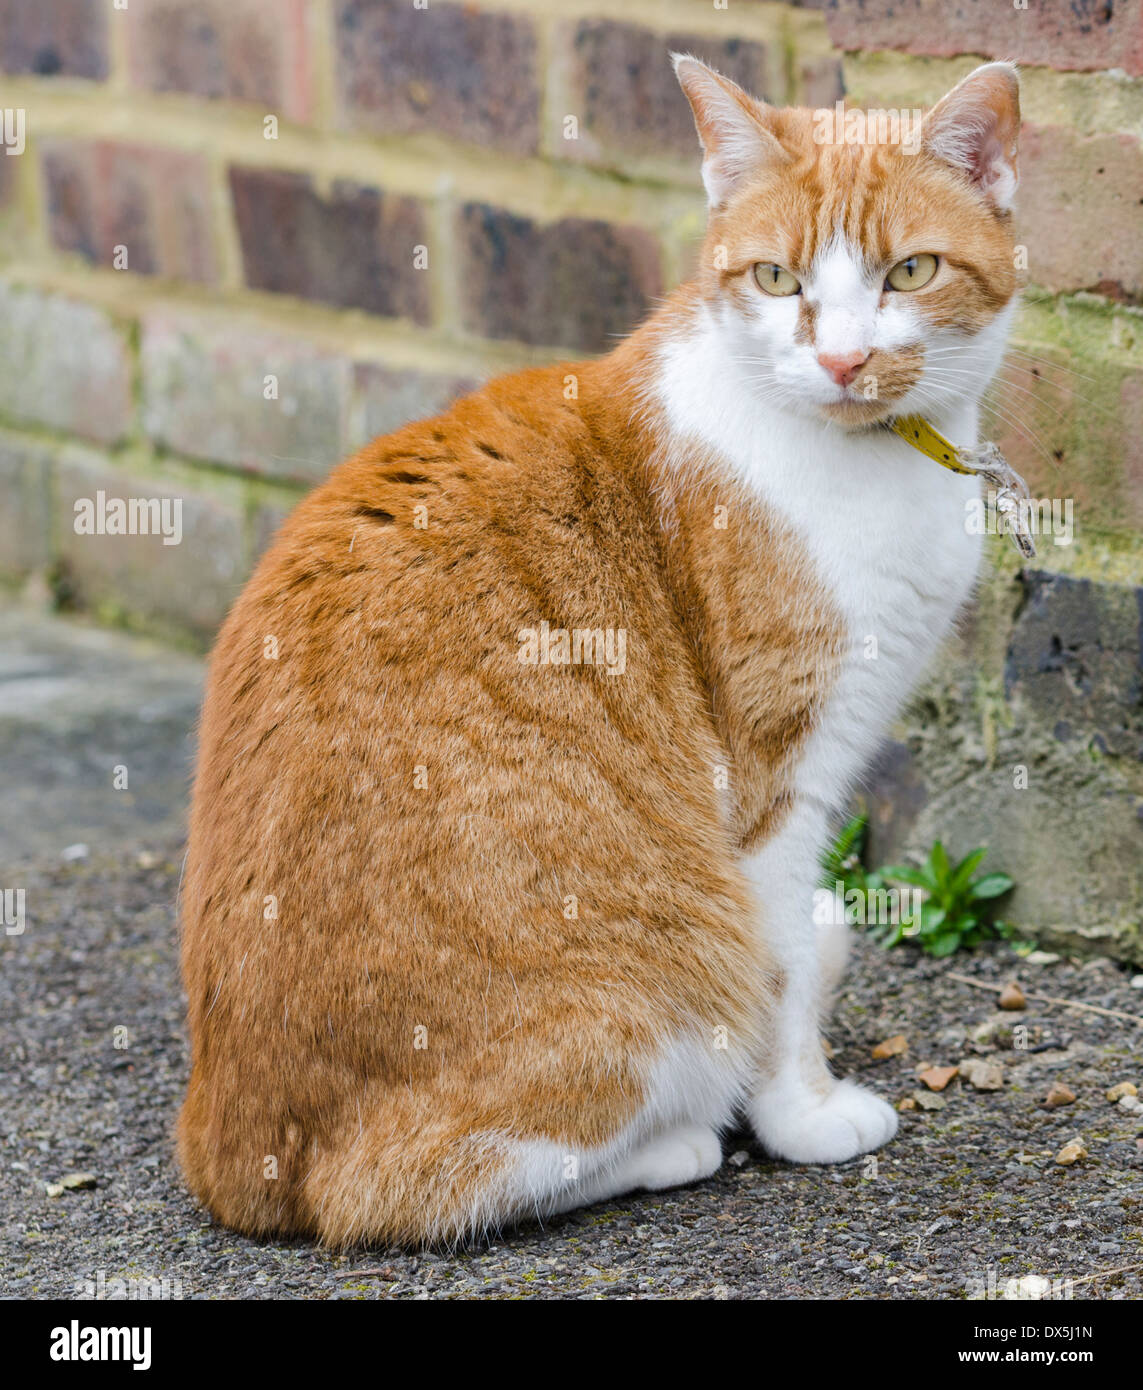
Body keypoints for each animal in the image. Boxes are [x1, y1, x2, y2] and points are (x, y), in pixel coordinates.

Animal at [180, 56, 1028, 1251]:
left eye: (910, 271)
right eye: (776, 279)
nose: (843, 358)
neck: (873, 459)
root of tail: (225, 1148)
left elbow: (809, 949)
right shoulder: (777, 777)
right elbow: (784, 965)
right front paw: (802, 1114)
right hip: (633, 996)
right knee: (402, 1188)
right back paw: (675, 1142)